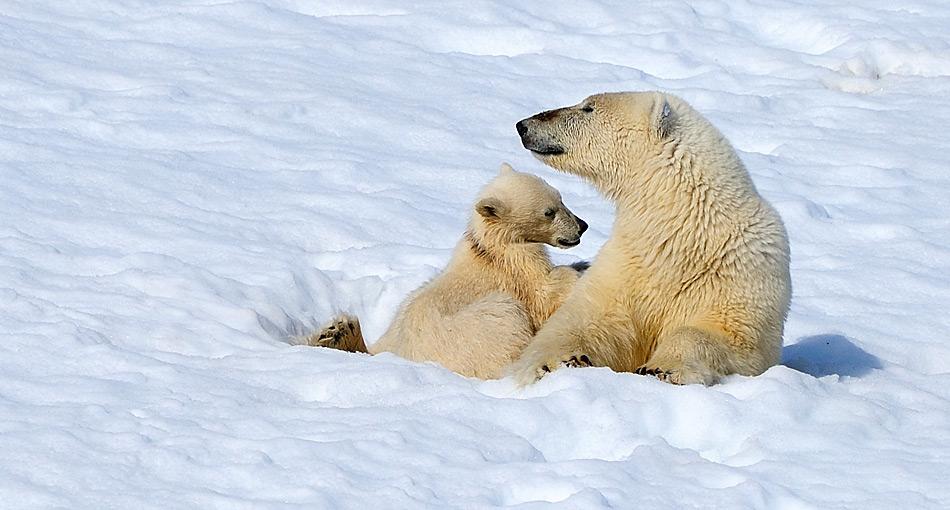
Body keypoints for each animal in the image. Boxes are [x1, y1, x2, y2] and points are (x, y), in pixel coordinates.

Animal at [516, 92, 792, 386]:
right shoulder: (626, 266)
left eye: (588, 108)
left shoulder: (741, 275)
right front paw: (553, 362)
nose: (523, 125)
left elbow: (727, 336)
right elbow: (590, 320)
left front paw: (662, 368)